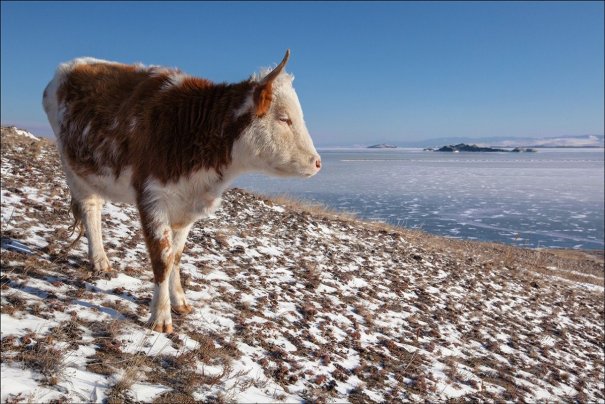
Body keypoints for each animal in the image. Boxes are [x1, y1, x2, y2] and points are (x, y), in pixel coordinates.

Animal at [42, 50, 320, 332]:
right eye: (284, 118)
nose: (317, 162)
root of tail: (72, 65)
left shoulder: (187, 207)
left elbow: (175, 256)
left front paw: (179, 301)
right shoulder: (152, 198)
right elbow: (162, 258)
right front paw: (160, 316)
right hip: (72, 167)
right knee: (90, 209)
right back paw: (99, 260)